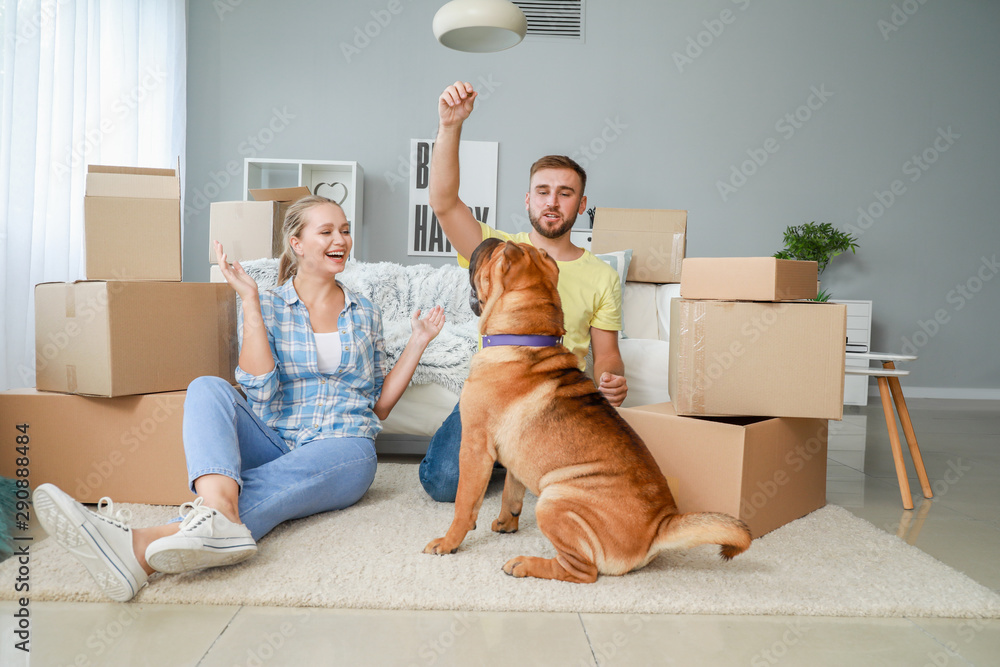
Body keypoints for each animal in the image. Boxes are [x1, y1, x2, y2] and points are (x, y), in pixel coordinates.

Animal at [422, 239, 752, 580]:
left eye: (495, 254)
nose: (490, 240)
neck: (526, 339)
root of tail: (658, 529)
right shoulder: (512, 455)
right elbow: (511, 492)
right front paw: (505, 522)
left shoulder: (475, 446)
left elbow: (464, 504)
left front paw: (447, 542)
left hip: (553, 501)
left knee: (581, 571)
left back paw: (524, 563)